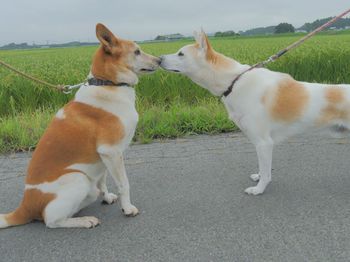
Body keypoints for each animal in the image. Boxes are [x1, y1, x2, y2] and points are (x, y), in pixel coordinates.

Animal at [0, 24, 161, 229]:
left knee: (91, 192)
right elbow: (124, 184)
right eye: (137, 51)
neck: (108, 83)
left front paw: (107, 197)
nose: (160, 60)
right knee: (50, 220)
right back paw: (84, 220)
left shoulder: (104, 157)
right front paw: (127, 208)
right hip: (79, 178)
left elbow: (103, 180)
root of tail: (24, 208)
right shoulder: (111, 151)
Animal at [160, 29, 348, 195]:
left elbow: (266, 172)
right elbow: (262, 168)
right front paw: (258, 178)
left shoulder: (264, 143)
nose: (159, 58)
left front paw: (259, 190)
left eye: (181, 54)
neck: (233, 81)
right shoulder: (260, 144)